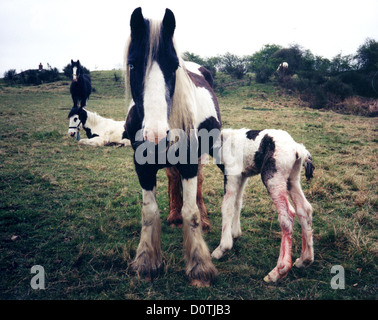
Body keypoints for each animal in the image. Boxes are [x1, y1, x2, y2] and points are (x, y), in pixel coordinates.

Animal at [122, 8, 220, 288]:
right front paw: (146, 262)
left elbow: (192, 212)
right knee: (171, 176)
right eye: (132, 64)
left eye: (174, 65)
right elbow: (149, 212)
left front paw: (200, 267)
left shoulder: (189, 162)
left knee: (198, 186)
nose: (156, 137)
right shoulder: (142, 166)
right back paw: (174, 215)